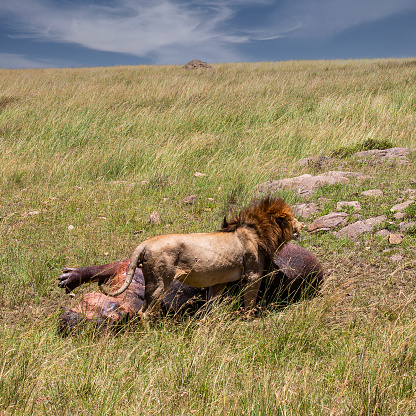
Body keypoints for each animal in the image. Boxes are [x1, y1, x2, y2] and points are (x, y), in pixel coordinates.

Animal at [101, 197, 302, 316]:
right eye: (292, 219)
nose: (302, 226)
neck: (256, 231)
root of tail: (145, 243)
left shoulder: (220, 280)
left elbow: (212, 304)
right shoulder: (252, 275)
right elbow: (251, 301)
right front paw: (250, 318)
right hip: (159, 282)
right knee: (144, 312)